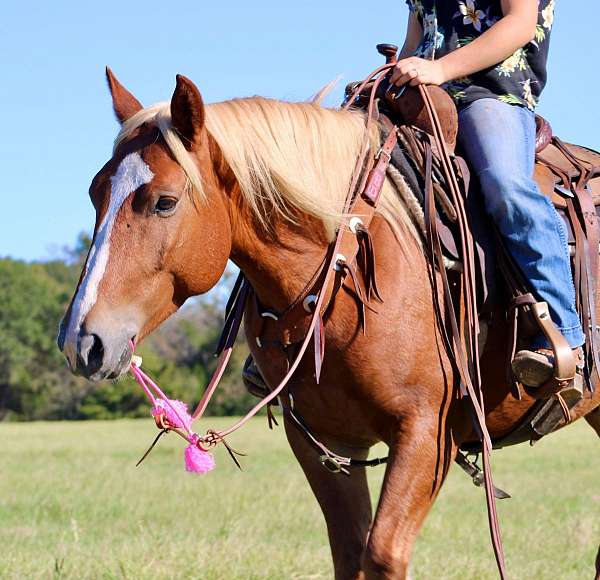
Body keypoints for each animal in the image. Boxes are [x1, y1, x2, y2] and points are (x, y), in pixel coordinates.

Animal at [58, 70, 600, 576]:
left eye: (165, 201)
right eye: (95, 193)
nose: (82, 341)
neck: (344, 269)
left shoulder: (426, 434)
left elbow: (382, 554)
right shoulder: (323, 442)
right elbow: (350, 552)